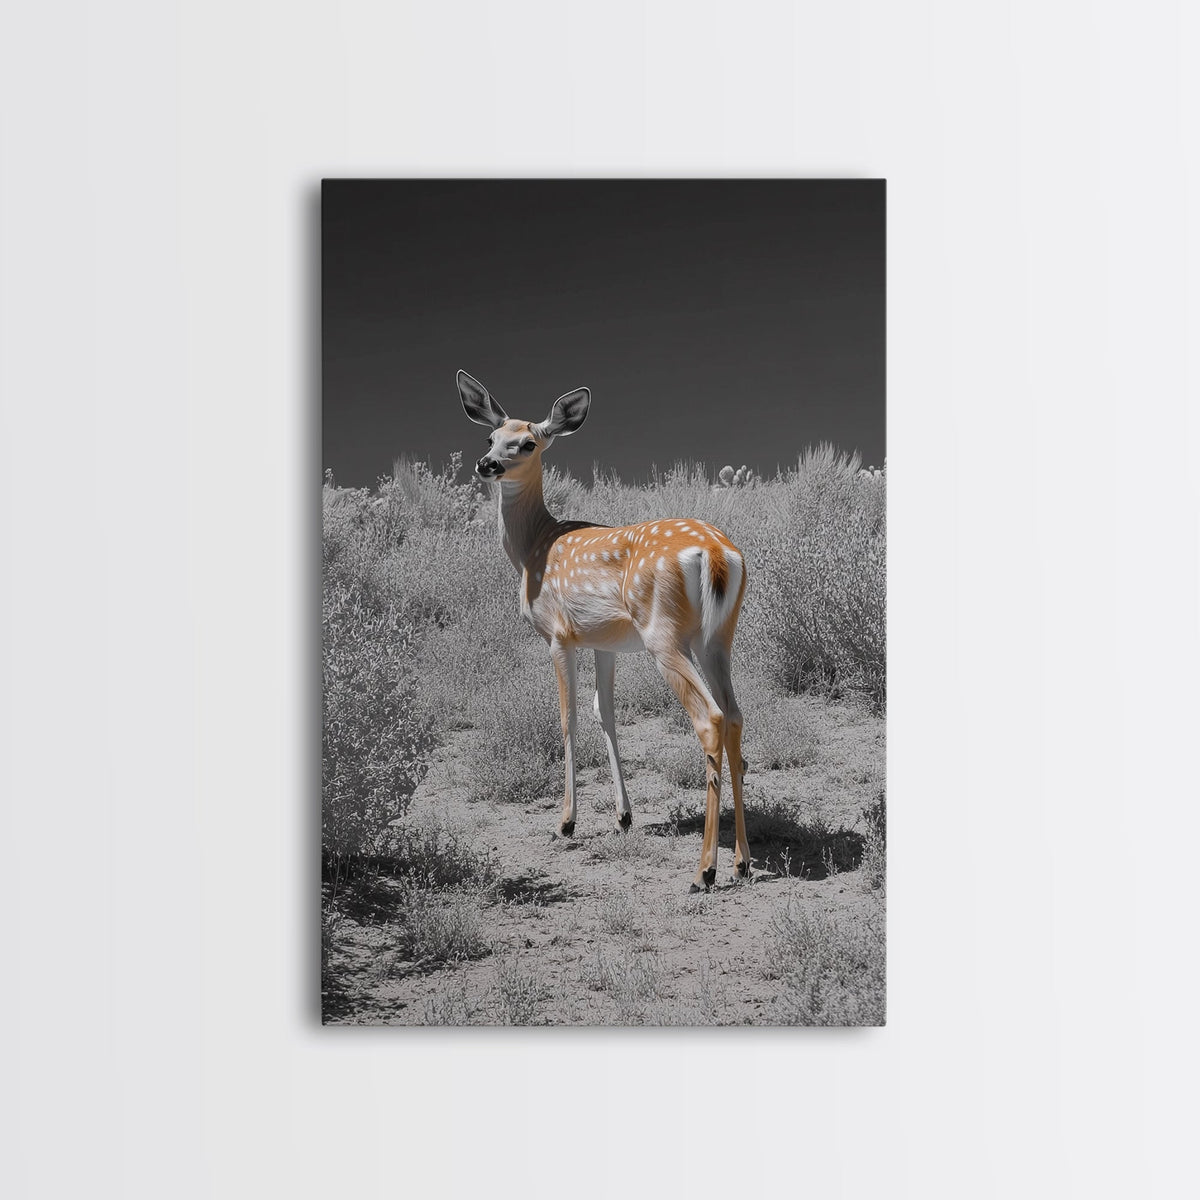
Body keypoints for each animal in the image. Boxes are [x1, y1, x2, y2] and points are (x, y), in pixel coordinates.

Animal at [457, 370, 751, 891]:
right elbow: (606, 714)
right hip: (716, 638)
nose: (486, 464)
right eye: (490, 436)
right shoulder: (604, 642)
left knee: (710, 718)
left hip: (662, 634)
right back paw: (742, 862)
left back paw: (704, 870)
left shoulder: (559, 634)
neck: (532, 548)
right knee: (735, 715)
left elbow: (568, 716)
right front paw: (623, 816)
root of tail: (717, 554)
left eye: (528, 443)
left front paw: (566, 822)